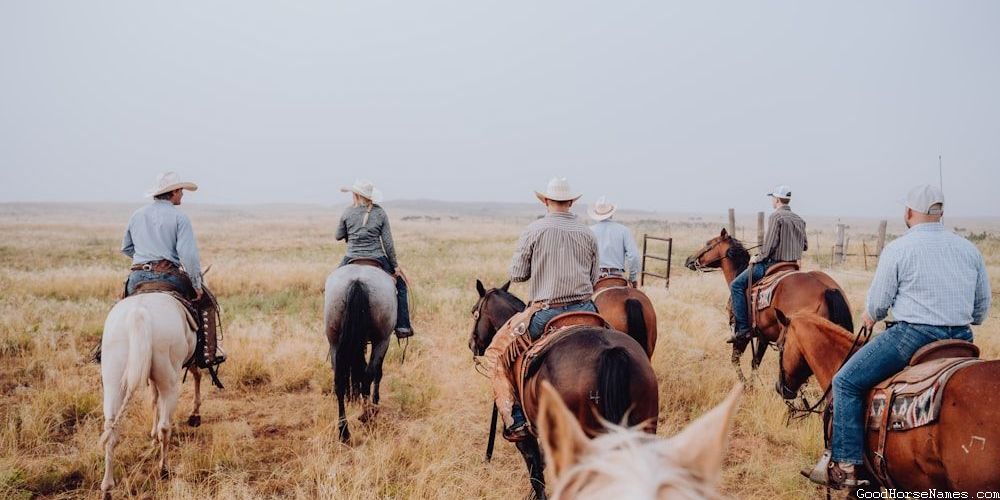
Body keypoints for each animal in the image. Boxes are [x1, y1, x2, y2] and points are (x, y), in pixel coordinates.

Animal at [99, 293, 204, 499]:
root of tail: (139, 312)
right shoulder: (189, 360)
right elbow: (196, 375)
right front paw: (195, 413)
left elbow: (154, 399)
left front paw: (152, 433)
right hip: (170, 381)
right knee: (166, 425)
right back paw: (164, 469)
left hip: (113, 380)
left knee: (111, 430)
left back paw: (107, 487)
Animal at [323, 262, 397, 442]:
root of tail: (358, 281)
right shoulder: (383, 341)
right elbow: (377, 373)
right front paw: (374, 403)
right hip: (382, 339)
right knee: (369, 374)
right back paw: (367, 416)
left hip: (334, 341)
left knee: (340, 382)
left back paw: (344, 432)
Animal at [684, 228, 853, 381]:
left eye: (708, 244)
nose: (688, 260)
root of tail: (827, 289)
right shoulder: (763, 336)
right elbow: (755, 363)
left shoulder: (740, 333)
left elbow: (735, 360)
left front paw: (745, 384)